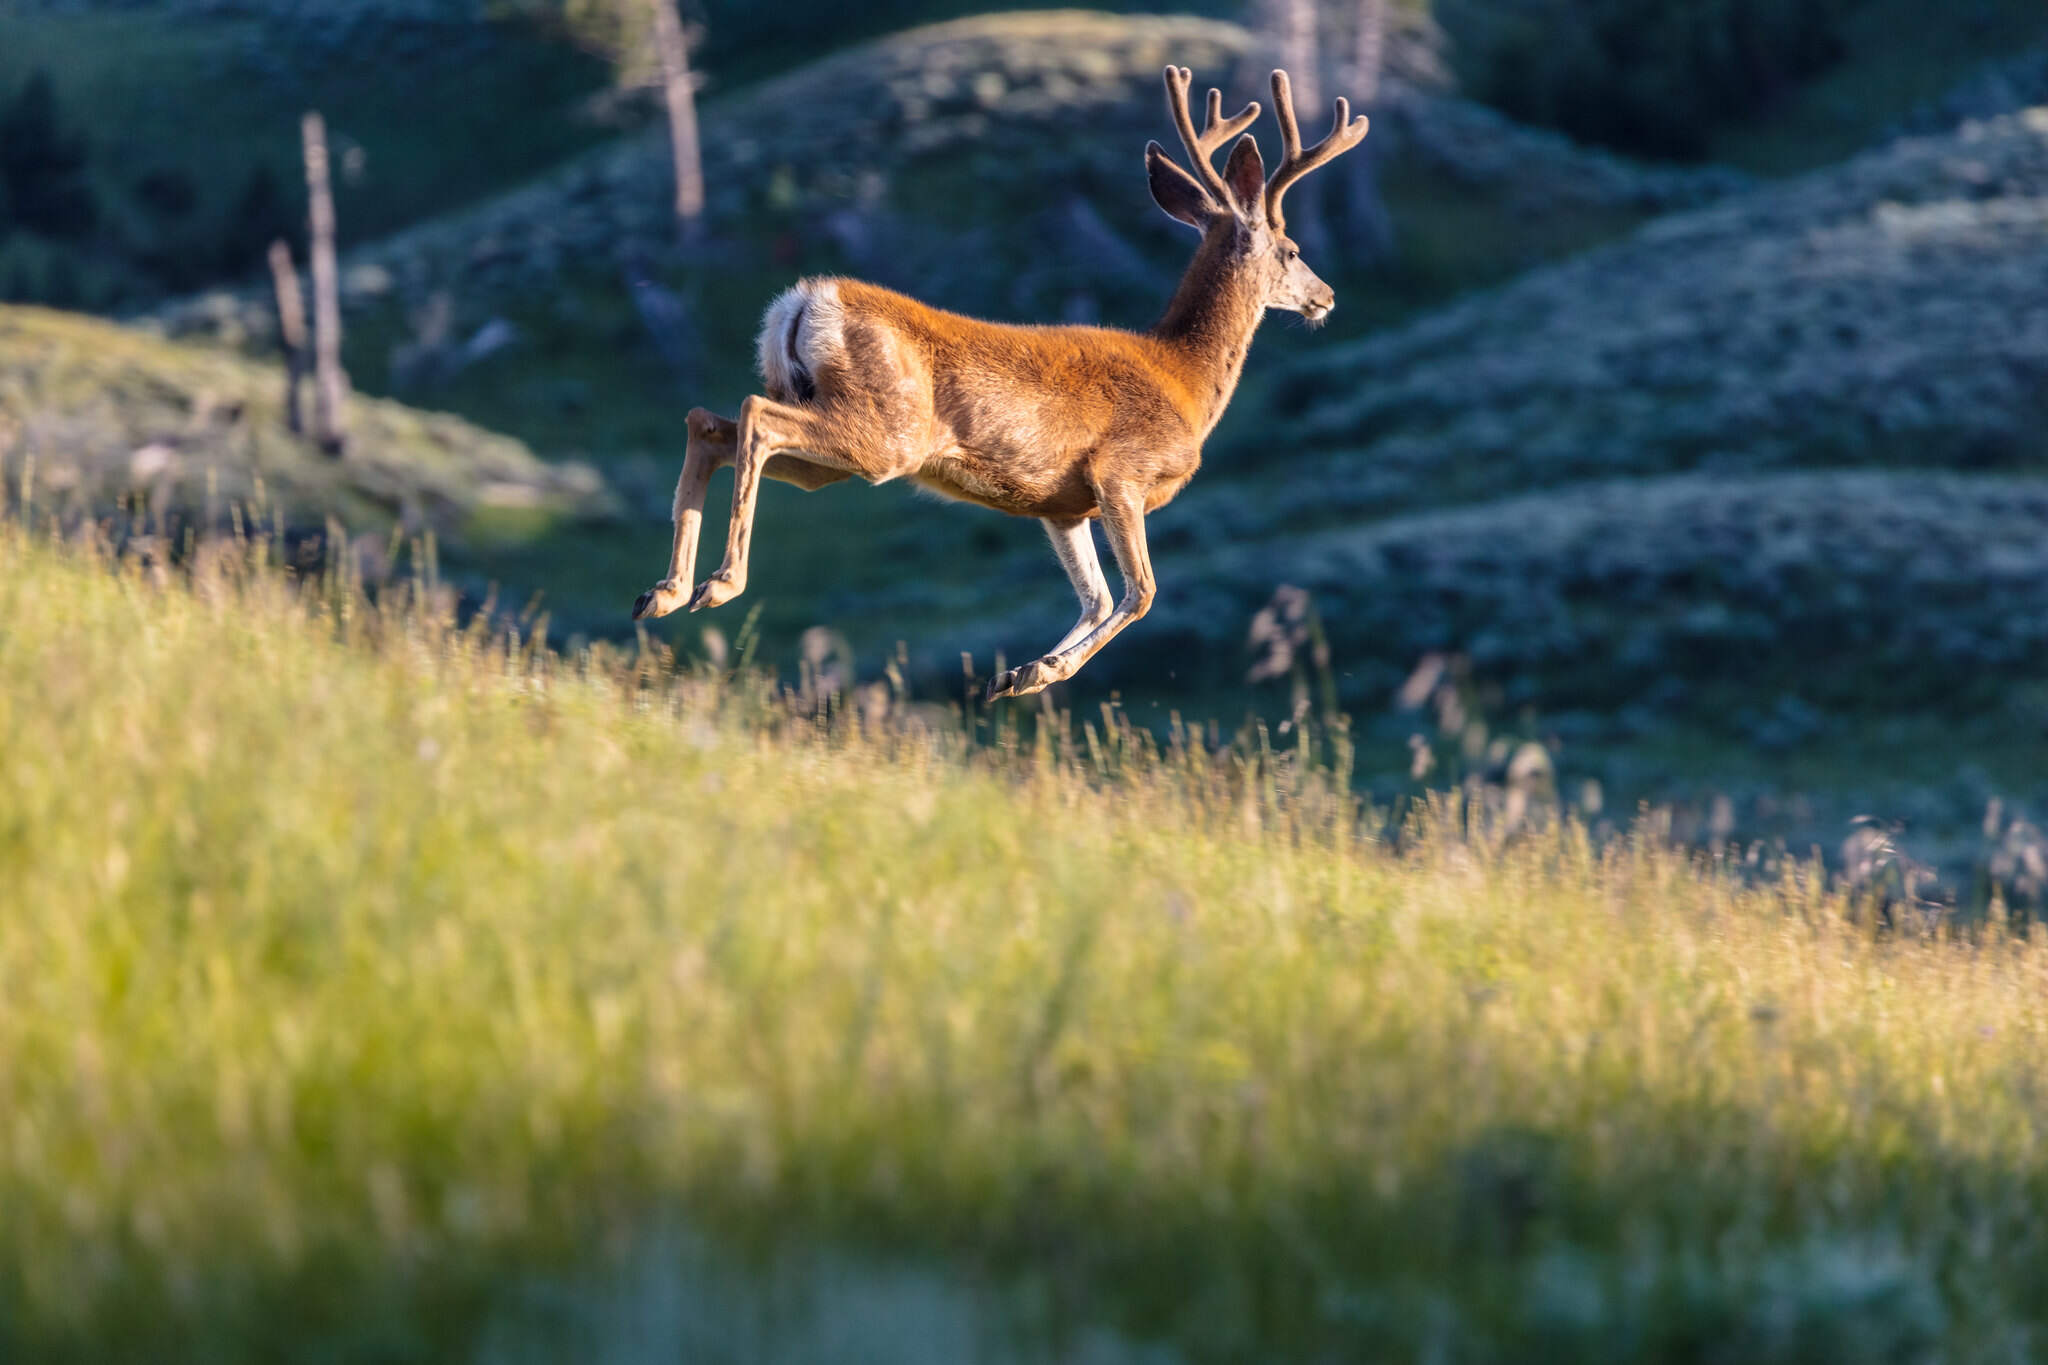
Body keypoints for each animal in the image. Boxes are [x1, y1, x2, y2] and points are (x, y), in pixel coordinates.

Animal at [622, 66, 1359, 703]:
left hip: (826, 444)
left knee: (711, 422)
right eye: (1292, 249)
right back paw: (718, 584)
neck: (1185, 377)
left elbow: (1094, 594)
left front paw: (1022, 673)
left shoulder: (1062, 504)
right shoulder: (1121, 470)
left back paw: (663, 592)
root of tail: (803, 301)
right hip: (884, 433)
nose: (1327, 296)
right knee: (752, 415)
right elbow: (1142, 591)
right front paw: (1041, 671)